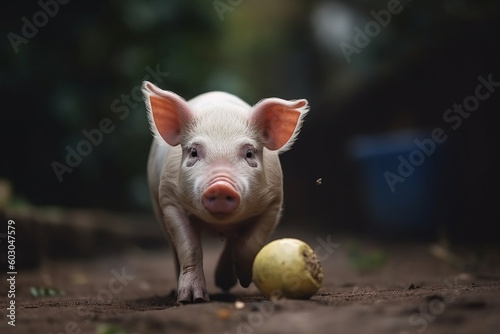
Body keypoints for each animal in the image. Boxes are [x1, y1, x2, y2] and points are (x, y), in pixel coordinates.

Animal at [142, 81, 308, 302]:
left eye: (249, 153)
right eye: (193, 152)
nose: (221, 185)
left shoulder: (273, 202)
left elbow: (248, 244)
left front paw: (245, 280)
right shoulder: (169, 200)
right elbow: (189, 247)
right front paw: (192, 300)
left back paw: (224, 283)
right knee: (173, 247)